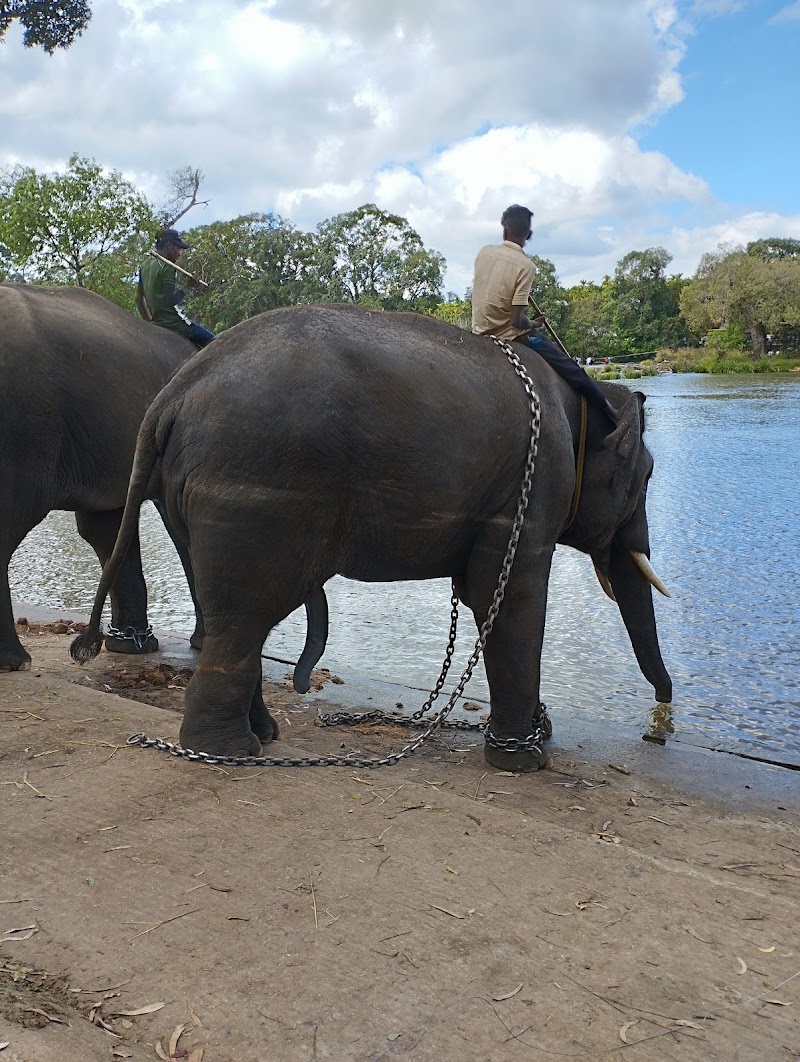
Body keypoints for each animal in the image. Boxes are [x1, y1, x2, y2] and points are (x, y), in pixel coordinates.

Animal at [72, 304, 673, 772]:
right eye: (647, 477)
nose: (661, 726)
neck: (581, 399)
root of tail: (173, 391)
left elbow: (483, 593)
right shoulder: (530, 492)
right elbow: (509, 597)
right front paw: (526, 760)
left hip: (193, 495)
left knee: (229, 611)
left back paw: (259, 738)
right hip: (255, 490)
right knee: (244, 614)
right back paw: (232, 752)